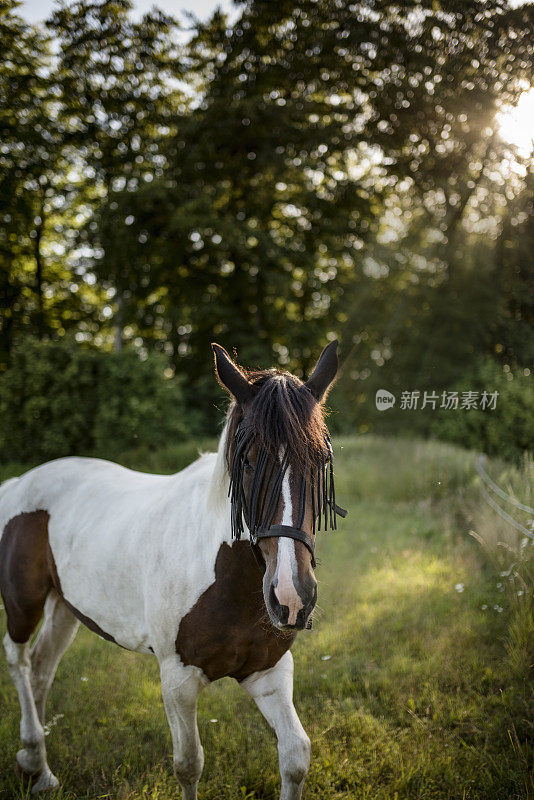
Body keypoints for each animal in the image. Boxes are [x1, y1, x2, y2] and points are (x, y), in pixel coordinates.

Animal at [0, 340, 348, 800]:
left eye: (321, 460)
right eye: (248, 460)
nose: (291, 598)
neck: (226, 576)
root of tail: (20, 483)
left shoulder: (269, 673)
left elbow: (296, 756)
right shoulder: (177, 680)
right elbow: (189, 765)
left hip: (65, 607)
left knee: (42, 668)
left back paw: (39, 771)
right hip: (24, 604)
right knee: (20, 661)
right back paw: (32, 754)